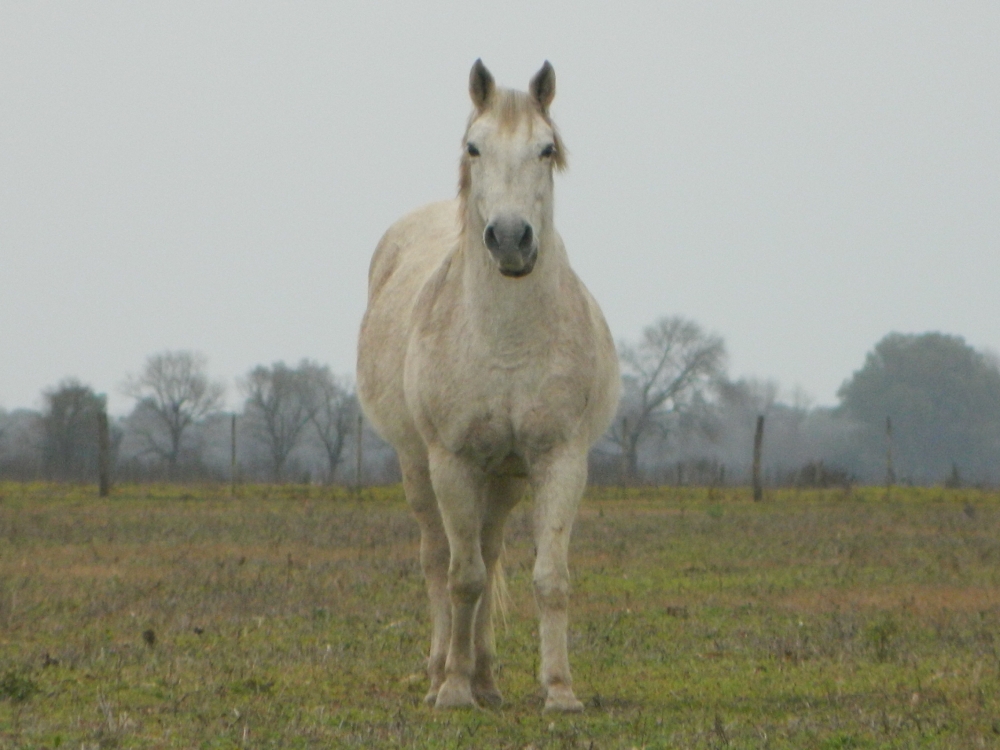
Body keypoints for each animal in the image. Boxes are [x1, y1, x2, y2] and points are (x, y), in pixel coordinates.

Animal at [352, 61, 616, 712]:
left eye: (547, 149)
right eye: (475, 147)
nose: (511, 238)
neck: (506, 341)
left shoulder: (558, 461)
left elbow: (548, 578)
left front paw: (559, 690)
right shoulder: (452, 462)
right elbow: (462, 577)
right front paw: (451, 690)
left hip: (504, 477)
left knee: (490, 549)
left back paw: (487, 678)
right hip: (419, 467)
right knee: (439, 559)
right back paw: (442, 670)